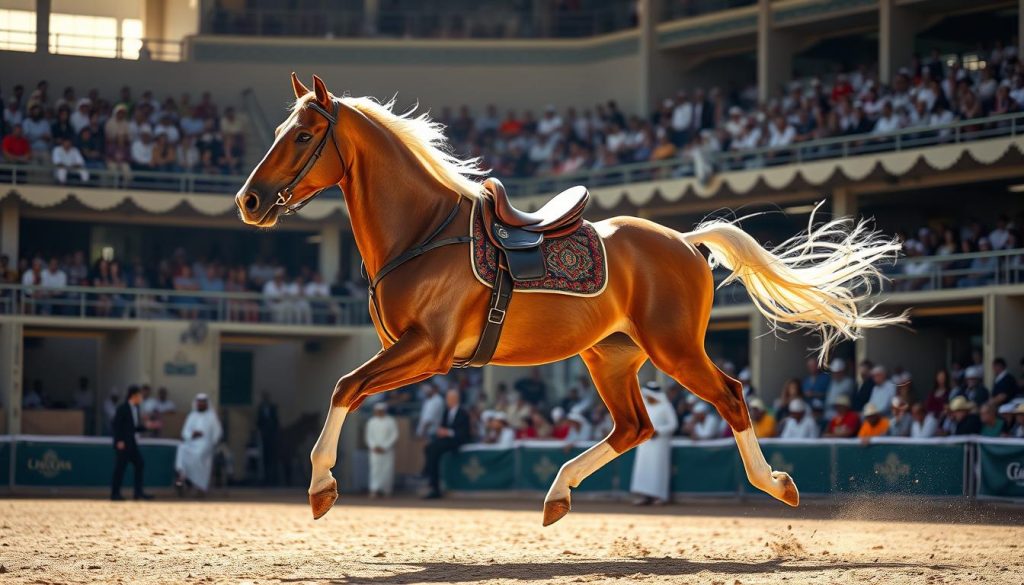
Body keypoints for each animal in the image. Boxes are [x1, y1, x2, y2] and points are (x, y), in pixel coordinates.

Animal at [235, 74, 905, 524]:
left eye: (302, 135)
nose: (248, 200)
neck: (424, 232)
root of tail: (686, 241)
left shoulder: (427, 350)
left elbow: (343, 386)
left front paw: (320, 486)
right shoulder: (413, 355)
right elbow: (348, 389)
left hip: (675, 350)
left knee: (731, 397)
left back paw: (776, 484)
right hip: (610, 356)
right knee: (634, 427)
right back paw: (559, 492)